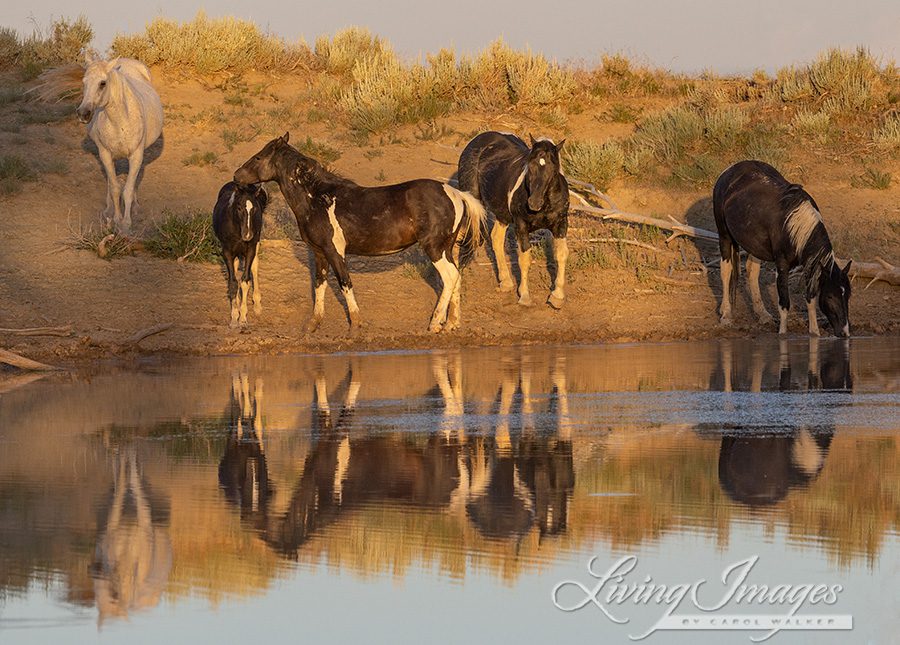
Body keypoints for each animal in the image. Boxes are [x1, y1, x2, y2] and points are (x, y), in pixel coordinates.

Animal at [76, 52, 163, 234]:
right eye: (84, 82)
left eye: (102, 83)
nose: (83, 114)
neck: (120, 120)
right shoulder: (105, 154)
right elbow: (115, 188)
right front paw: (116, 219)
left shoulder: (136, 155)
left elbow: (128, 189)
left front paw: (126, 224)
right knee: (111, 182)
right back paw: (108, 209)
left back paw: (135, 207)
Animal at [212, 180, 266, 324]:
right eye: (239, 208)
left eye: (254, 209)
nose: (247, 235)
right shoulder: (227, 252)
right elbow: (233, 282)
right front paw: (234, 317)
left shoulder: (250, 249)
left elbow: (245, 281)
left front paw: (242, 318)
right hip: (235, 253)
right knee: (235, 269)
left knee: (254, 266)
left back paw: (257, 305)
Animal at [232, 131, 486, 332]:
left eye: (258, 157)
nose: (236, 176)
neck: (317, 199)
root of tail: (456, 194)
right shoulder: (319, 253)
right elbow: (319, 284)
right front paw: (313, 324)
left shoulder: (334, 251)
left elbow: (344, 282)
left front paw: (355, 323)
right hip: (447, 248)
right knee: (457, 277)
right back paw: (451, 323)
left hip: (434, 248)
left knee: (450, 277)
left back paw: (435, 324)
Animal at [458, 131, 568, 306]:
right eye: (529, 166)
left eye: (553, 168)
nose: (534, 203)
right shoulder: (521, 226)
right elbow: (524, 258)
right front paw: (524, 296)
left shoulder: (560, 224)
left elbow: (561, 255)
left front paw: (557, 296)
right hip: (473, 202)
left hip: (502, 215)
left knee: (496, 238)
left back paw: (506, 282)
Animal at [712, 160, 852, 338]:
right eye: (830, 296)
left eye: (847, 295)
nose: (844, 332)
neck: (794, 224)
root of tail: (728, 171)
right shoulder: (782, 265)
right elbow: (784, 301)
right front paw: (783, 334)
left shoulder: (810, 265)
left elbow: (811, 298)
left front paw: (814, 333)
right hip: (724, 236)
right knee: (726, 270)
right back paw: (726, 315)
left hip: (753, 246)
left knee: (751, 272)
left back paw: (762, 315)